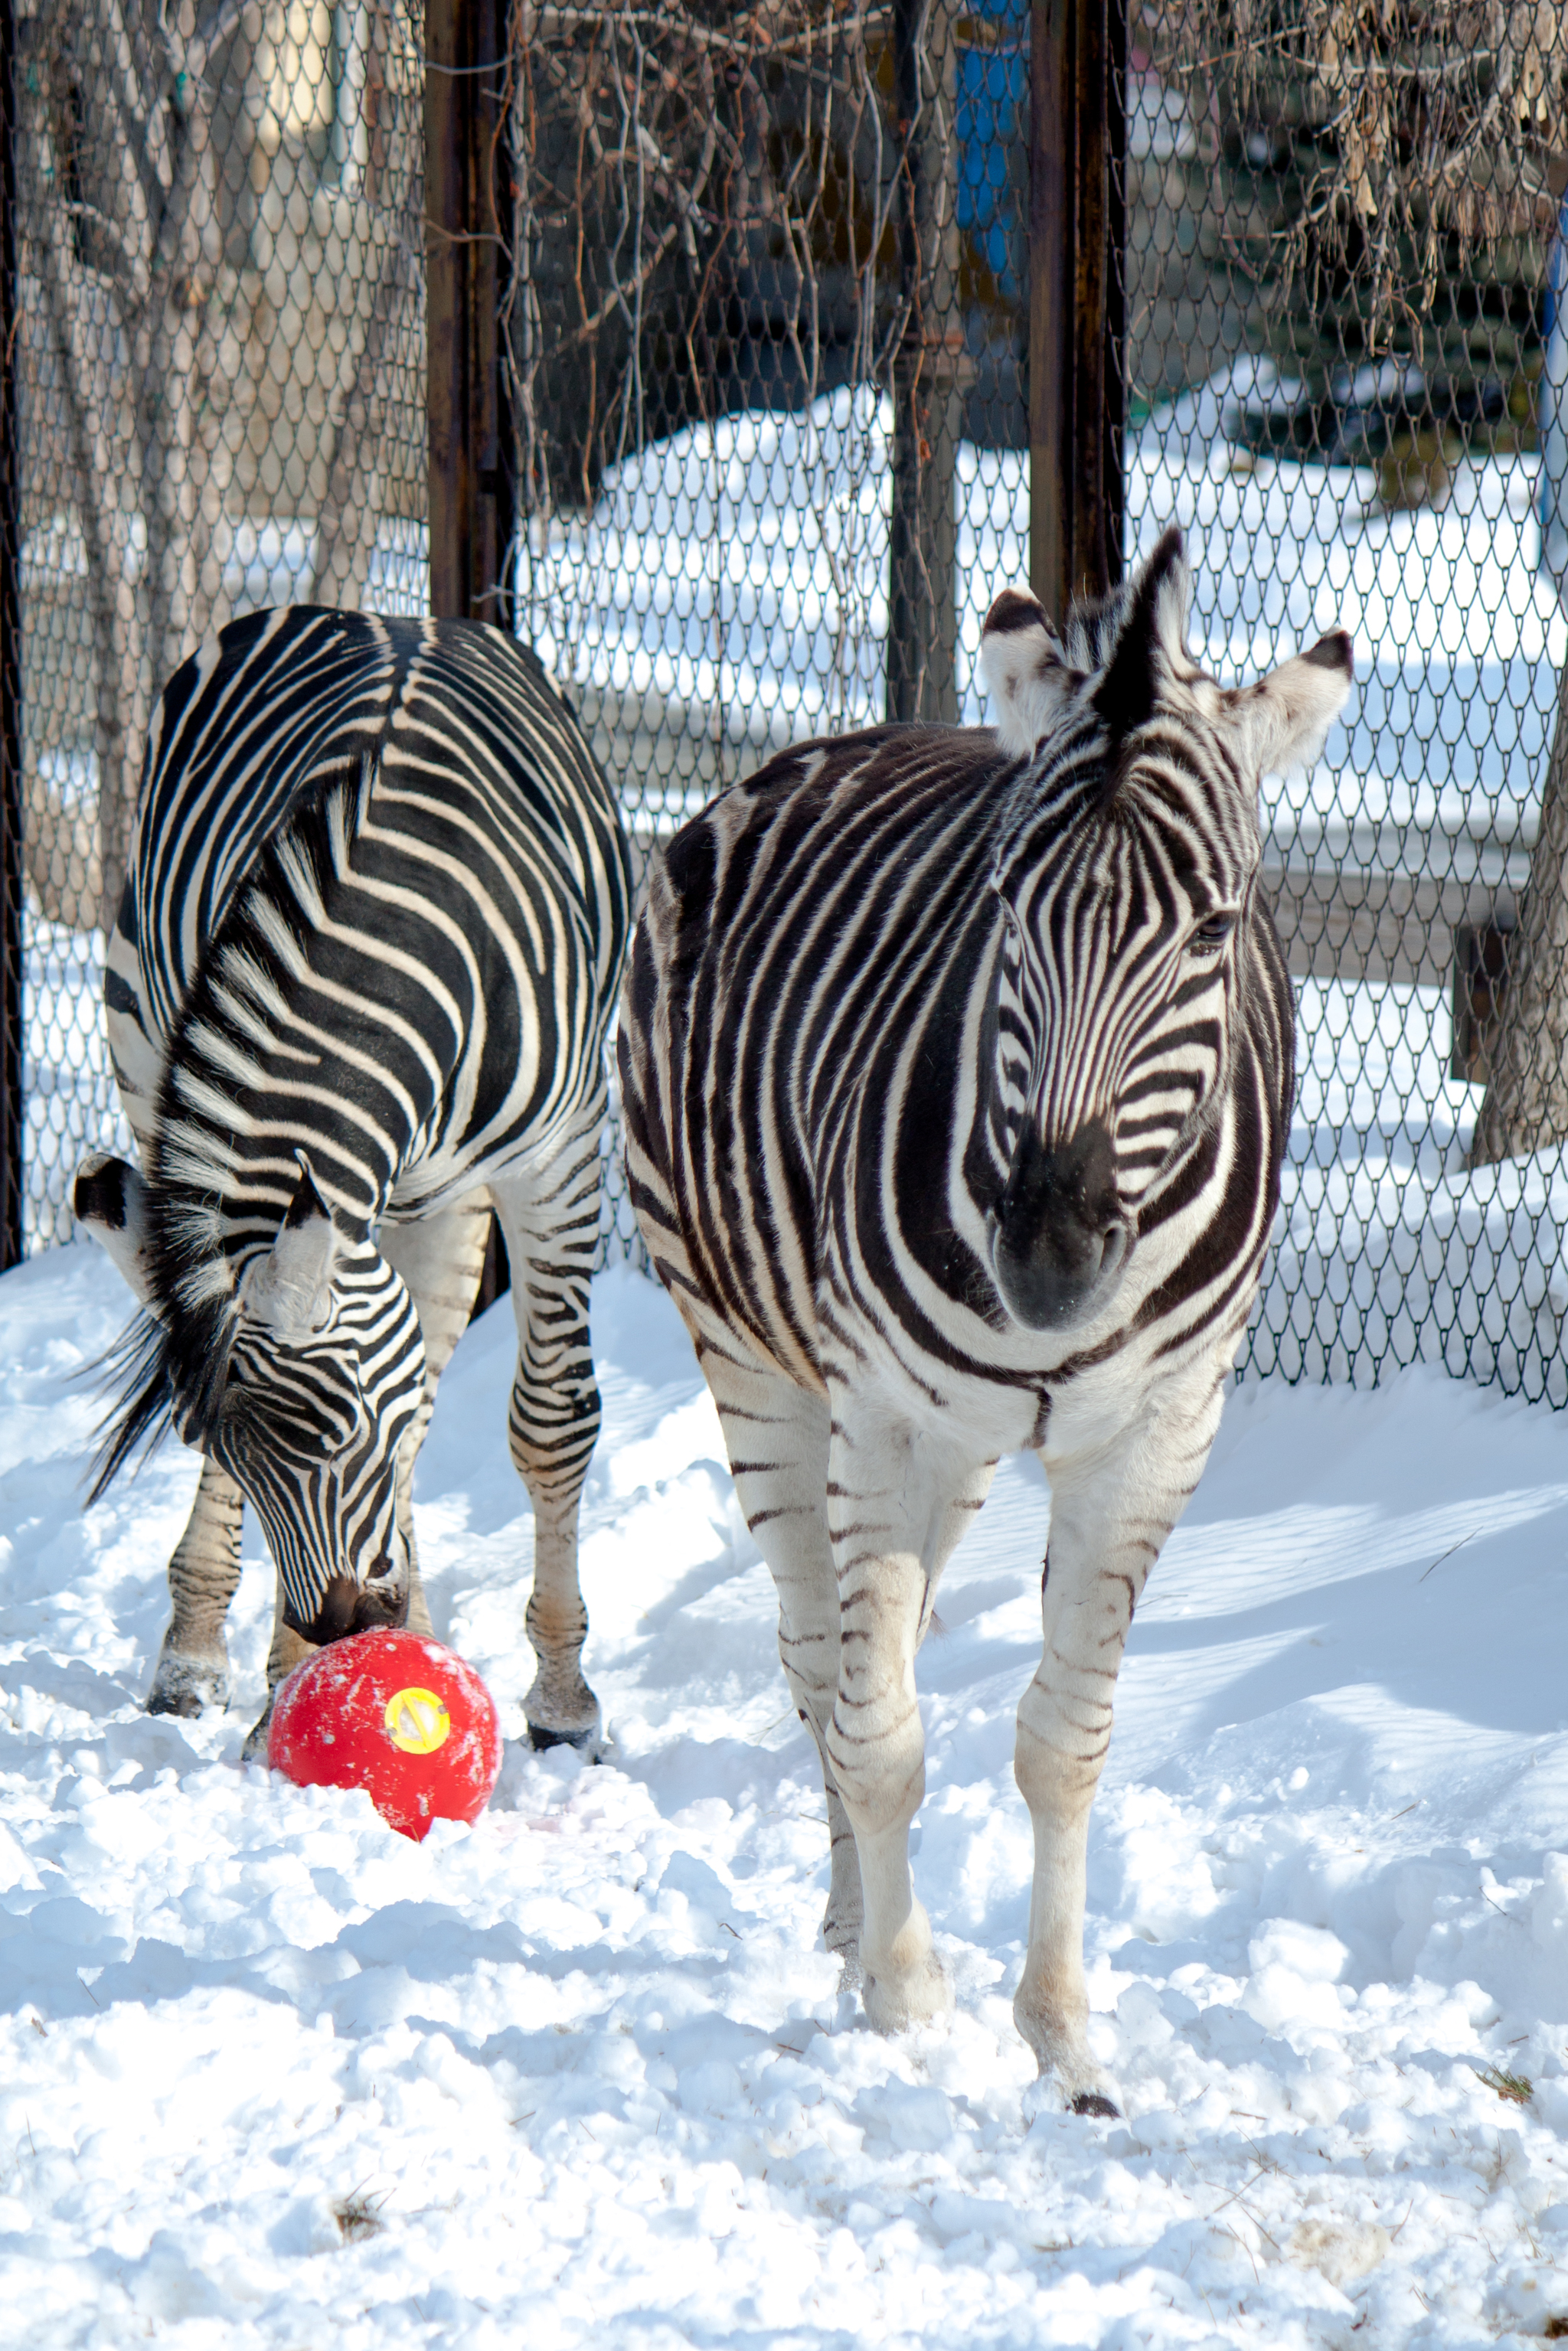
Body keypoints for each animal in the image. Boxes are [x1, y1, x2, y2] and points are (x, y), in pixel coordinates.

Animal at [70, 606, 629, 1768]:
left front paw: (564, 1703)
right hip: (143, 1039)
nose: (340, 1627)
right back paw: (206, 1652)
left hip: (445, 1197)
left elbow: (549, 1420)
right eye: (210, 1445)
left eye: (333, 1434)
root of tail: (386, 612)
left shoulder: (560, 1150)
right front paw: (292, 1686)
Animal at [620, 534, 1354, 2115]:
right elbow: (879, 1725)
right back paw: (850, 1932)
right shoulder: (882, 1423)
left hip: (946, 1451)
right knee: (818, 1662)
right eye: (1007, 900)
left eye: (1211, 928)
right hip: (761, 1367)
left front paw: (1063, 2032)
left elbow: (1063, 1743)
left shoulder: (1153, 1437)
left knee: (861, 1648)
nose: (1049, 1250)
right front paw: (905, 1999)